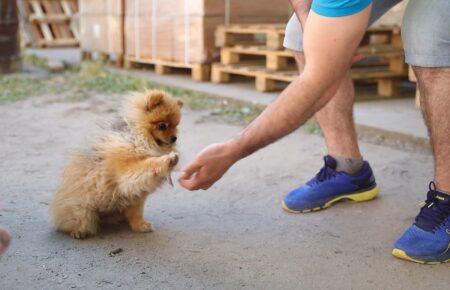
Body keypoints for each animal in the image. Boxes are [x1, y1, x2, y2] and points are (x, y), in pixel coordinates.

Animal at [50, 90, 182, 238]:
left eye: (176, 125)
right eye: (162, 125)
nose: (174, 138)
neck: (138, 136)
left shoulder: (137, 195)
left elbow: (137, 212)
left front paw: (140, 225)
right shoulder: (125, 171)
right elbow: (147, 164)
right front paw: (166, 160)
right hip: (82, 210)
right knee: (77, 221)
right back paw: (78, 231)